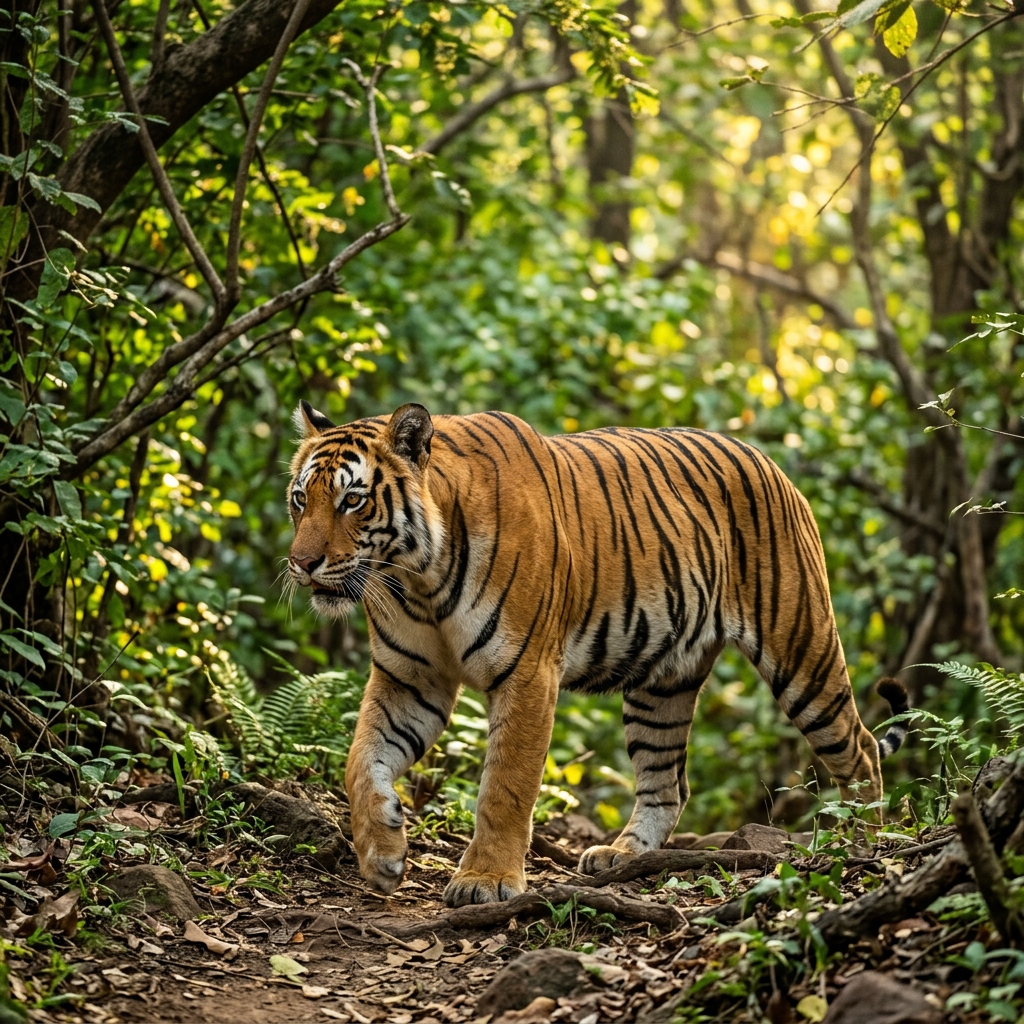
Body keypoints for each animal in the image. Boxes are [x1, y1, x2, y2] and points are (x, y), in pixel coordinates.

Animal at [286, 400, 910, 906]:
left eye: (352, 500)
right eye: (299, 499)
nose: (302, 563)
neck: (417, 577)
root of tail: (770, 461)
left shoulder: (528, 673)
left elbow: (506, 785)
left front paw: (485, 881)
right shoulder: (408, 678)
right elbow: (360, 759)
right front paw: (383, 852)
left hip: (802, 649)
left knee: (859, 747)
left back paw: (861, 841)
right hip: (663, 683)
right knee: (667, 783)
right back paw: (625, 854)